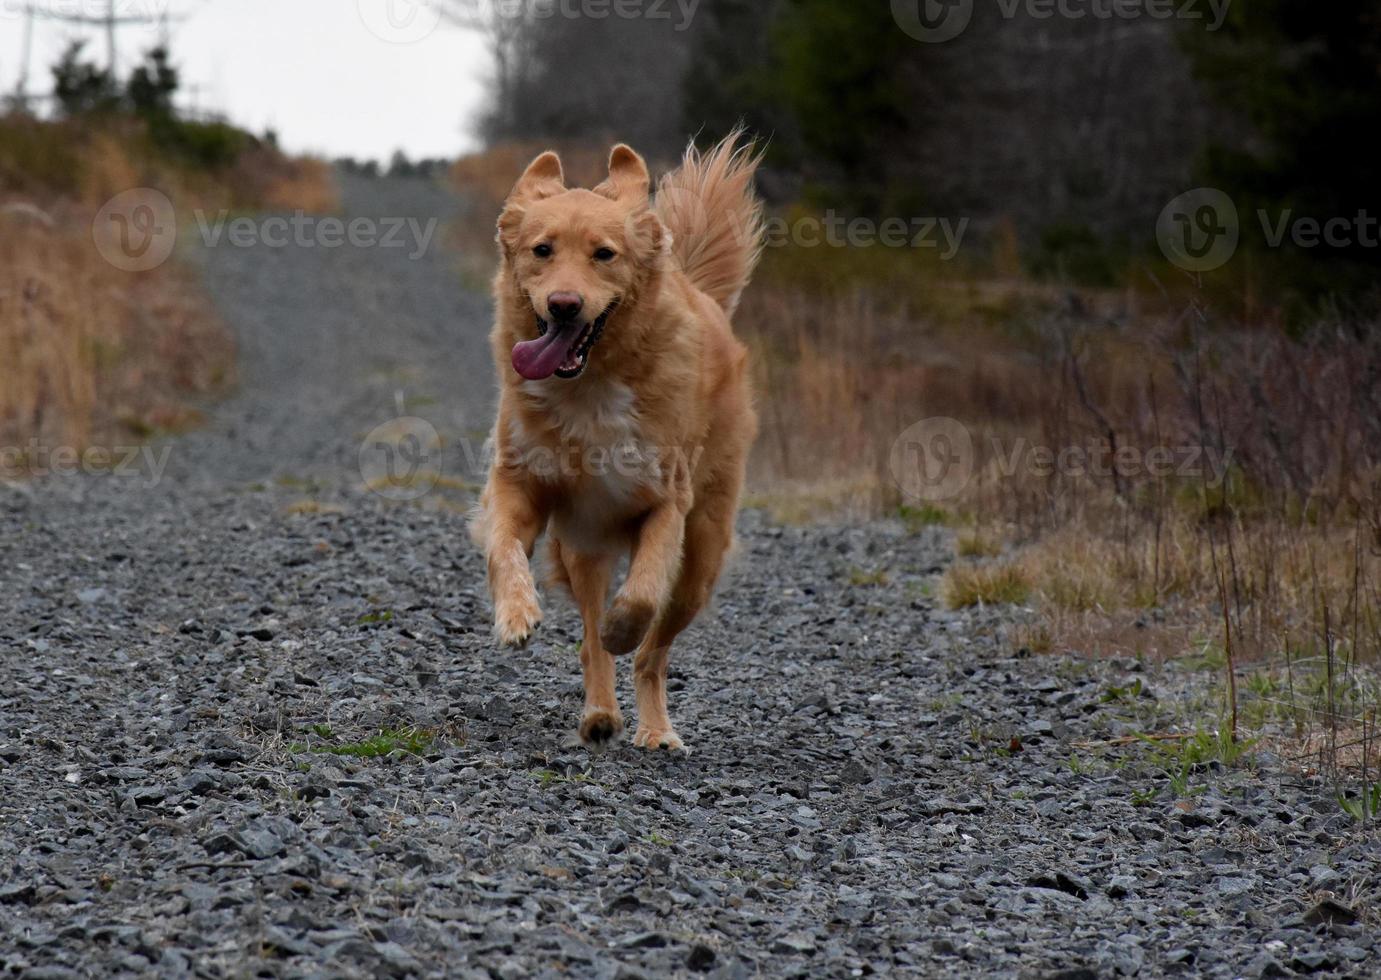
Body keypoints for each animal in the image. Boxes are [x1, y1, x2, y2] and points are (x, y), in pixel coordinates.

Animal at [469, 132, 762, 750]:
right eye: (542, 250)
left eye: (604, 254)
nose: (564, 305)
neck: (589, 386)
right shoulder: (519, 483)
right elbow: (504, 547)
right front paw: (515, 614)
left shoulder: (665, 502)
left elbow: (644, 593)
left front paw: (622, 627)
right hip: (585, 546)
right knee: (588, 639)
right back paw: (600, 714)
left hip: (701, 557)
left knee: (653, 653)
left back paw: (656, 728)